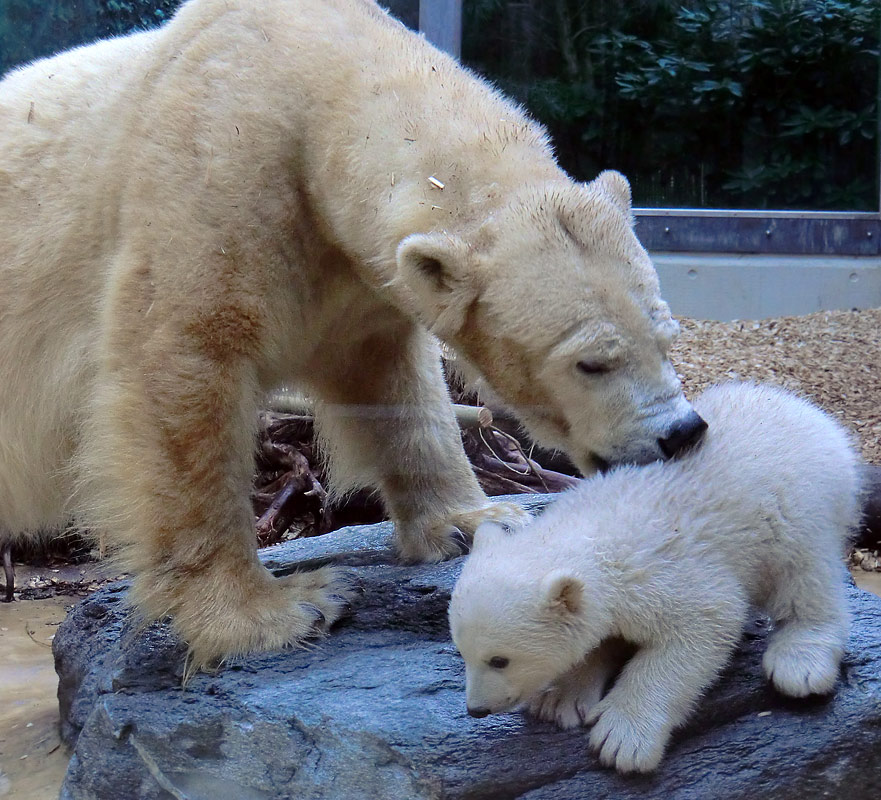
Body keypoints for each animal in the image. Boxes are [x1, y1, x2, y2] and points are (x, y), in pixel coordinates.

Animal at [0, 0, 704, 664]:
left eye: (666, 338)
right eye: (592, 363)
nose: (681, 433)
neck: (307, 76)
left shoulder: (354, 270)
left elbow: (392, 380)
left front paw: (476, 521)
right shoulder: (208, 178)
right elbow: (182, 366)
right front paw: (273, 613)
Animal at [450, 384, 864, 772]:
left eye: (499, 660)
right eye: (462, 652)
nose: (476, 709)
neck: (595, 532)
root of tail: (812, 415)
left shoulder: (664, 573)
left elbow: (703, 627)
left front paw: (622, 738)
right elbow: (600, 638)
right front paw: (559, 699)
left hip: (797, 506)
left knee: (804, 577)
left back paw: (799, 661)